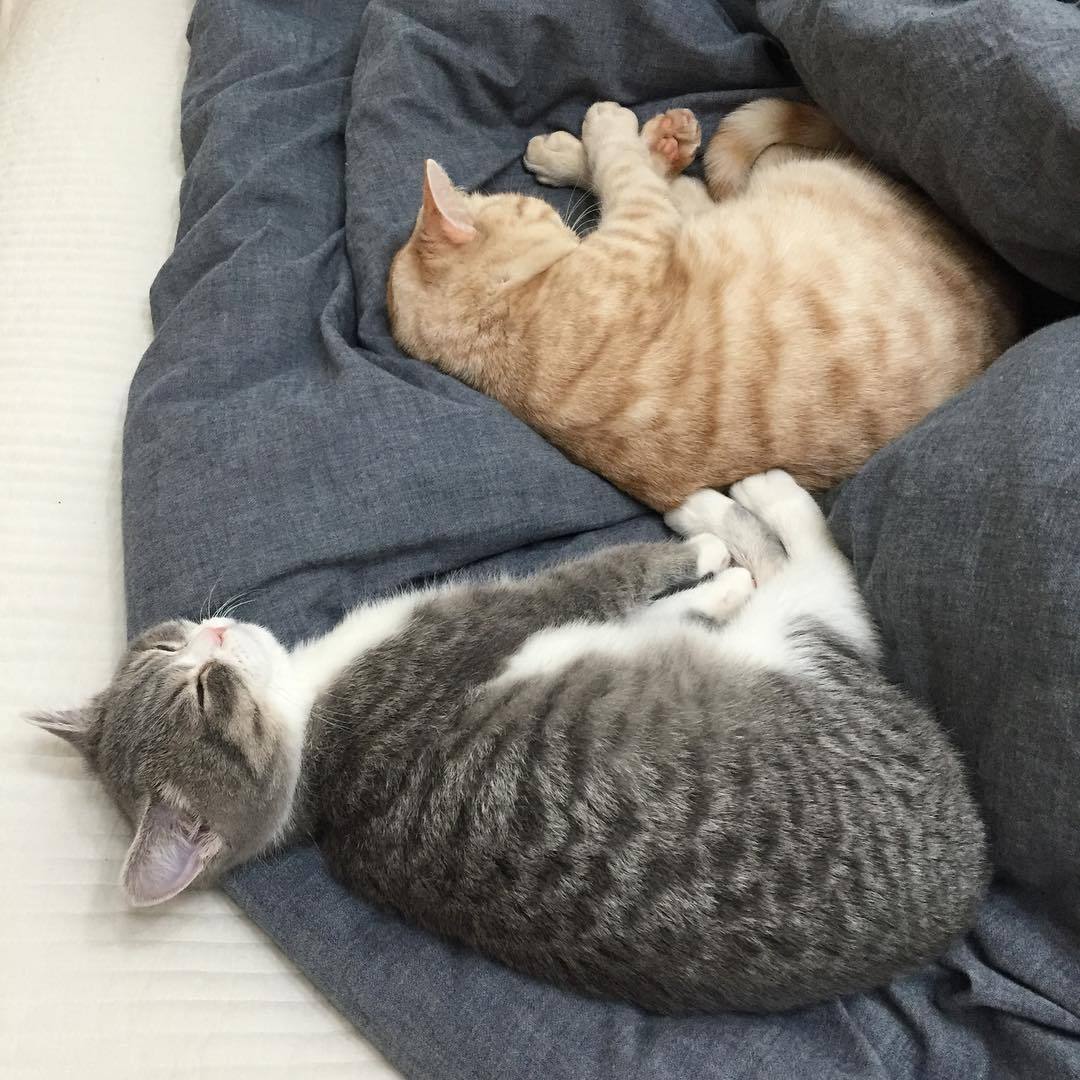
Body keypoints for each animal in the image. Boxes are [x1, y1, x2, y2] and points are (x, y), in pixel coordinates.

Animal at [30, 470, 988, 1014]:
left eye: (169, 653)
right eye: (201, 691)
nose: (214, 636)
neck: (317, 753)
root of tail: (963, 880)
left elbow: (654, 610)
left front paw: (705, 576)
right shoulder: (495, 619)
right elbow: (617, 579)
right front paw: (708, 565)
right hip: (797, 645)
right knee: (820, 571)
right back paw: (733, 506)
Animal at [387, 99, 1021, 510]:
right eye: (535, 212)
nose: (558, 219)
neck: (496, 325)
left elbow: (620, 169)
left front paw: (583, 149)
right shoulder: (644, 226)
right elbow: (622, 166)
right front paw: (611, 129)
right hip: (795, 173)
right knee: (737, 173)